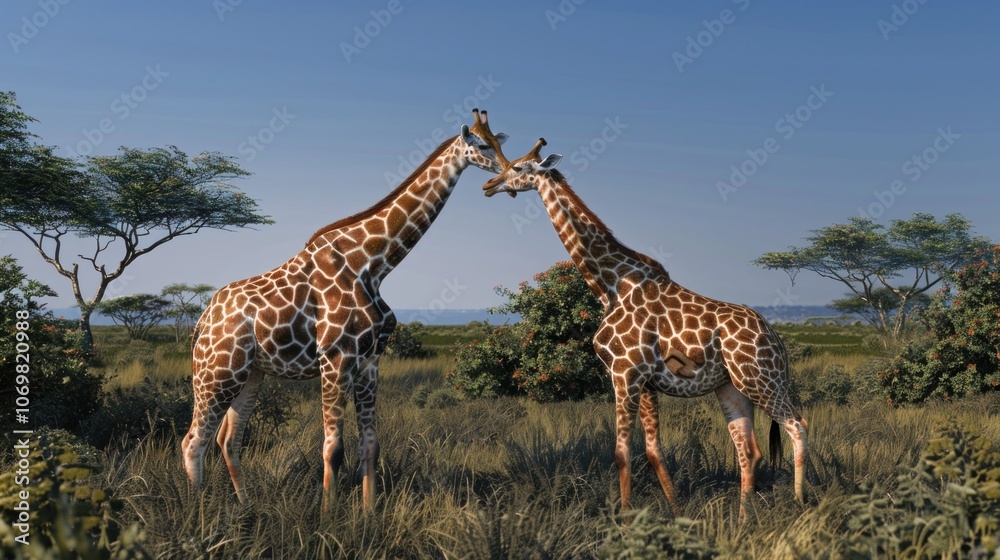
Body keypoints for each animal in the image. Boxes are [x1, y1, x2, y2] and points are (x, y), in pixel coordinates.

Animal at [182, 109, 510, 510]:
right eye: (480, 146)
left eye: (498, 144)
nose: (503, 177)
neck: (372, 263)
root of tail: (202, 320)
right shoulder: (335, 357)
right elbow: (333, 448)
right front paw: (329, 515)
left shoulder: (369, 360)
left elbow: (370, 445)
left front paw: (368, 513)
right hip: (216, 371)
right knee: (193, 441)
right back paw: (196, 511)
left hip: (251, 373)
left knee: (227, 439)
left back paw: (246, 506)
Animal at [482, 139, 808, 518]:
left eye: (518, 168)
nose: (488, 185)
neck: (610, 285)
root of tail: (777, 340)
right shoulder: (647, 380)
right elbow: (653, 450)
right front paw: (677, 511)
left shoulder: (624, 373)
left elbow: (622, 452)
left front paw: (623, 519)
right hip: (731, 386)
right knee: (749, 449)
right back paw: (742, 519)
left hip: (762, 379)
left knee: (797, 426)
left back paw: (800, 503)